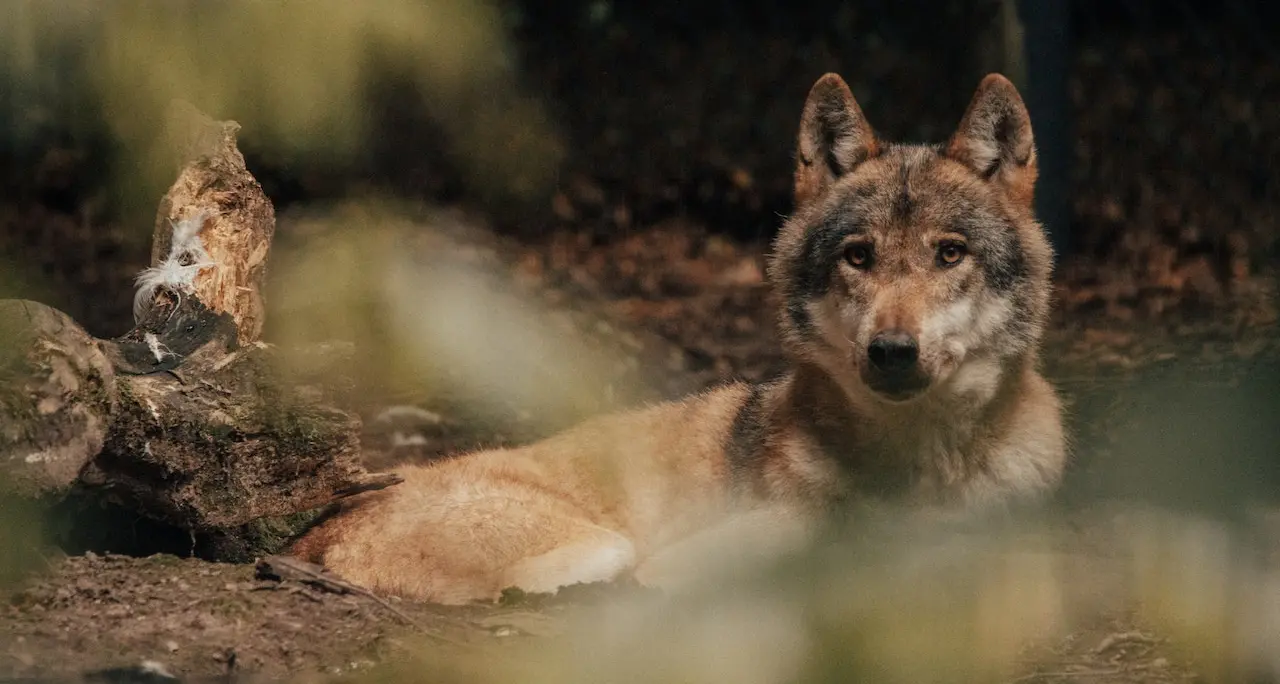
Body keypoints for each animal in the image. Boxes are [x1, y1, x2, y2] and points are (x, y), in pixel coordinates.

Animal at [290, 72, 1067, 604]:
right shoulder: (681, 564)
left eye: (949, 254)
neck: (916, 470)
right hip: (605, 547)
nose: (892, 351)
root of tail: (318, 528)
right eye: (858, 256)